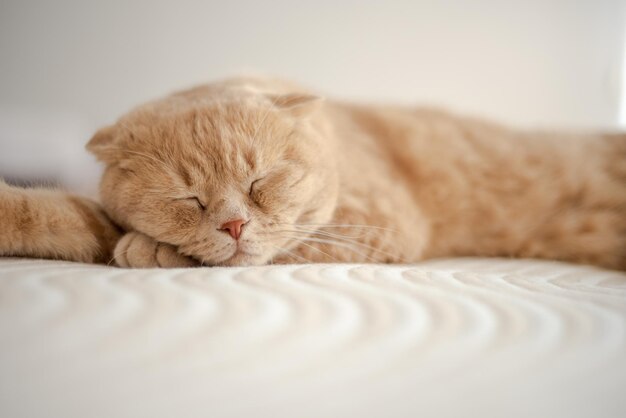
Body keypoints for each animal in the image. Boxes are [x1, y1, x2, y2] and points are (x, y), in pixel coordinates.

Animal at [1, 76, 624, 270]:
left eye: (259, 183)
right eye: (188, 199)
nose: (233, 226)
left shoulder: (373, 223)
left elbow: (282, 246)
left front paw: (147, 250)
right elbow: (47, 214)